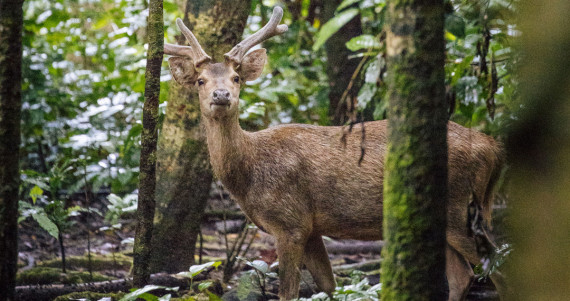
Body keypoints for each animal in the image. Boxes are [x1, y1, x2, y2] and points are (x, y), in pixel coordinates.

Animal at [162, 7, 504, 300]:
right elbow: (330, 286)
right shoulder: (311, 228)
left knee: (497, 266)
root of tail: (493, 148)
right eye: (201, 81)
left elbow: (289, 293)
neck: (249, 173)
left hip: (459, 206)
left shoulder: (290, 222)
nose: (221, 95)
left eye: (236, 78)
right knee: (463, 276)